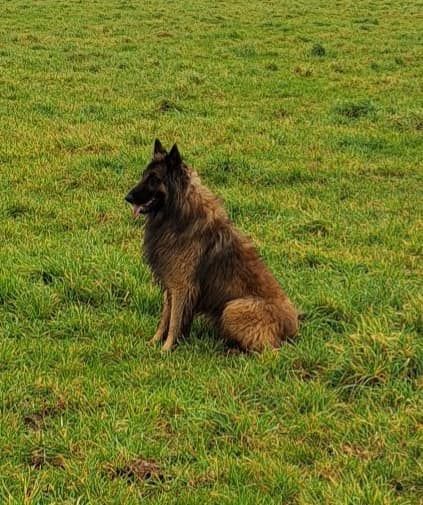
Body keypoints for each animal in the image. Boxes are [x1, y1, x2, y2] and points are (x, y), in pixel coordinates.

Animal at [125, 139, 298, 350]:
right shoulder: (171, 284)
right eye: (144, 175)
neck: (177, 213)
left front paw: (166, 349)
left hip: (232, 308)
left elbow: (174, 321)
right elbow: (165, 318)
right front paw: (153, 343)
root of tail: (293, 328)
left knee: (268, 349)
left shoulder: (182, 286)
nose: (128, 197)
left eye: (154, 179)